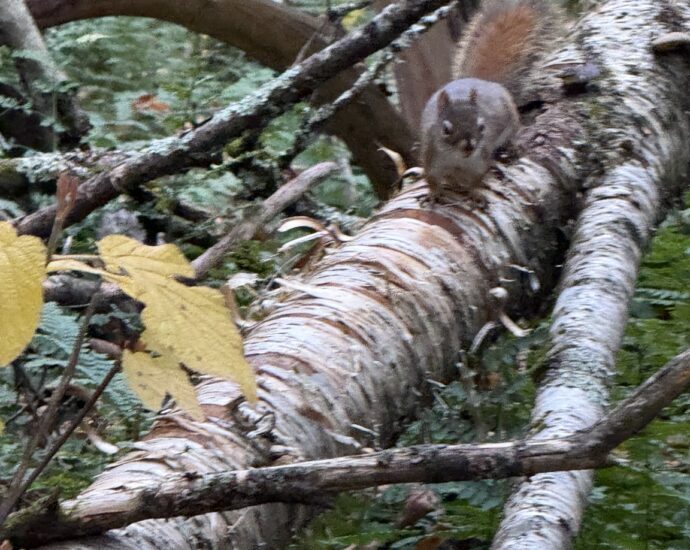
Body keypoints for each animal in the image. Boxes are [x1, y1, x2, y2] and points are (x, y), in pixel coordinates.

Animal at [420, 0, 561, 203]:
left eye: (481, 126)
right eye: (446, 130)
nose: (469, 146)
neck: (457, 158)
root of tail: (484, 82)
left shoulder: (480, 160)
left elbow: (477, 178)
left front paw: (475, 193)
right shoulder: (431, 158)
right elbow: (431, 178)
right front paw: (433, 193)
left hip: (512, 121)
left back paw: (512, 147)